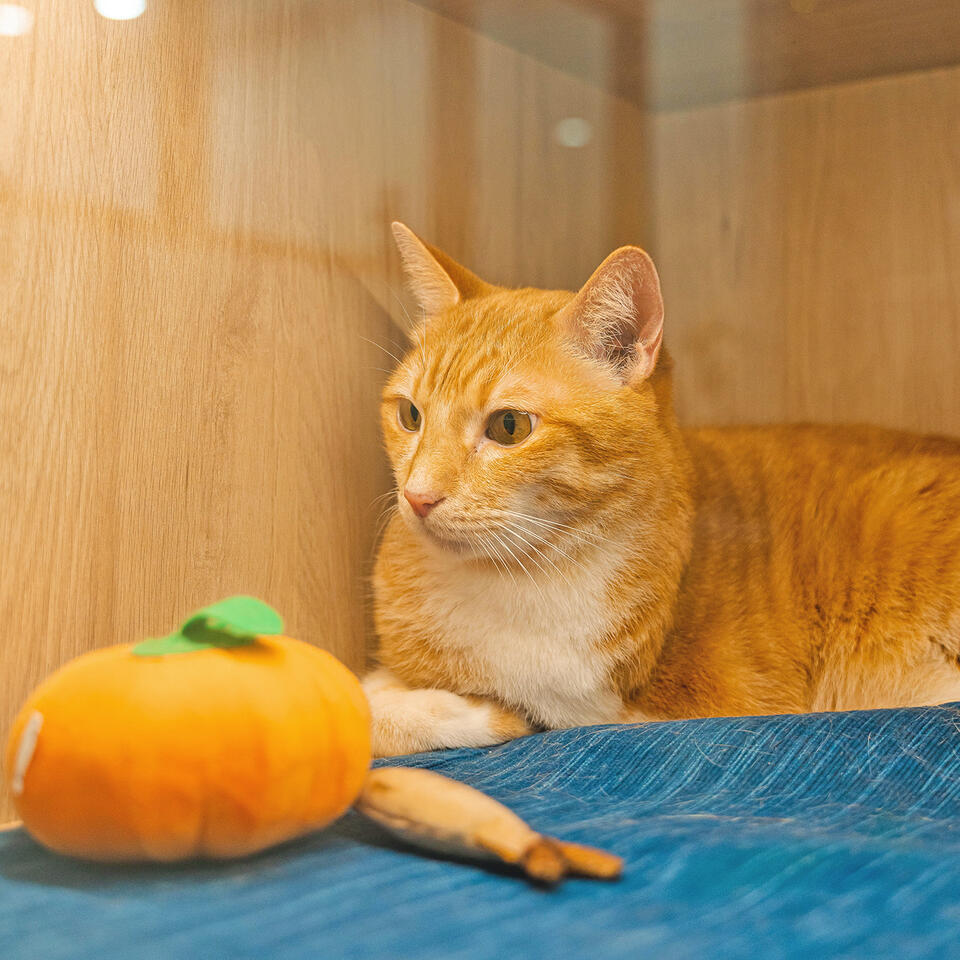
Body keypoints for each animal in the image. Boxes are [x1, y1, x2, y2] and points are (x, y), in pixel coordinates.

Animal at [363, 220, 960, 757]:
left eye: (509, 427)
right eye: (411, 415)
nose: (417, 497)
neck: (508, 579)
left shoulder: (646, 707)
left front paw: (470, 709)